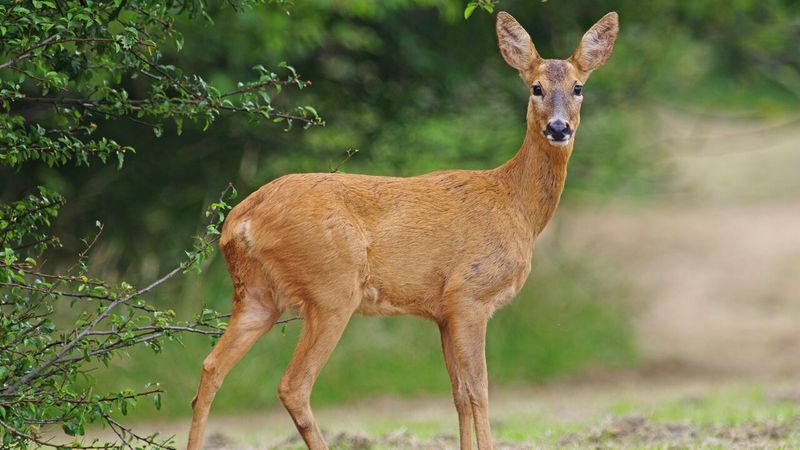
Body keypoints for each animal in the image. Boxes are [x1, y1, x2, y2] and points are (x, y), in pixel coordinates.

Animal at [186, 10, 620, 450]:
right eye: (536, 87)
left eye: (578, 87)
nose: (559, 128)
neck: (515, 205)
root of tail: (241, 220)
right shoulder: (470, 295)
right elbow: (479, 390)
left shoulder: (442, 311)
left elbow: (458, 394)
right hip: (331, 287)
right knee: (293, 385)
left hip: (258, 294)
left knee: (210, 367)